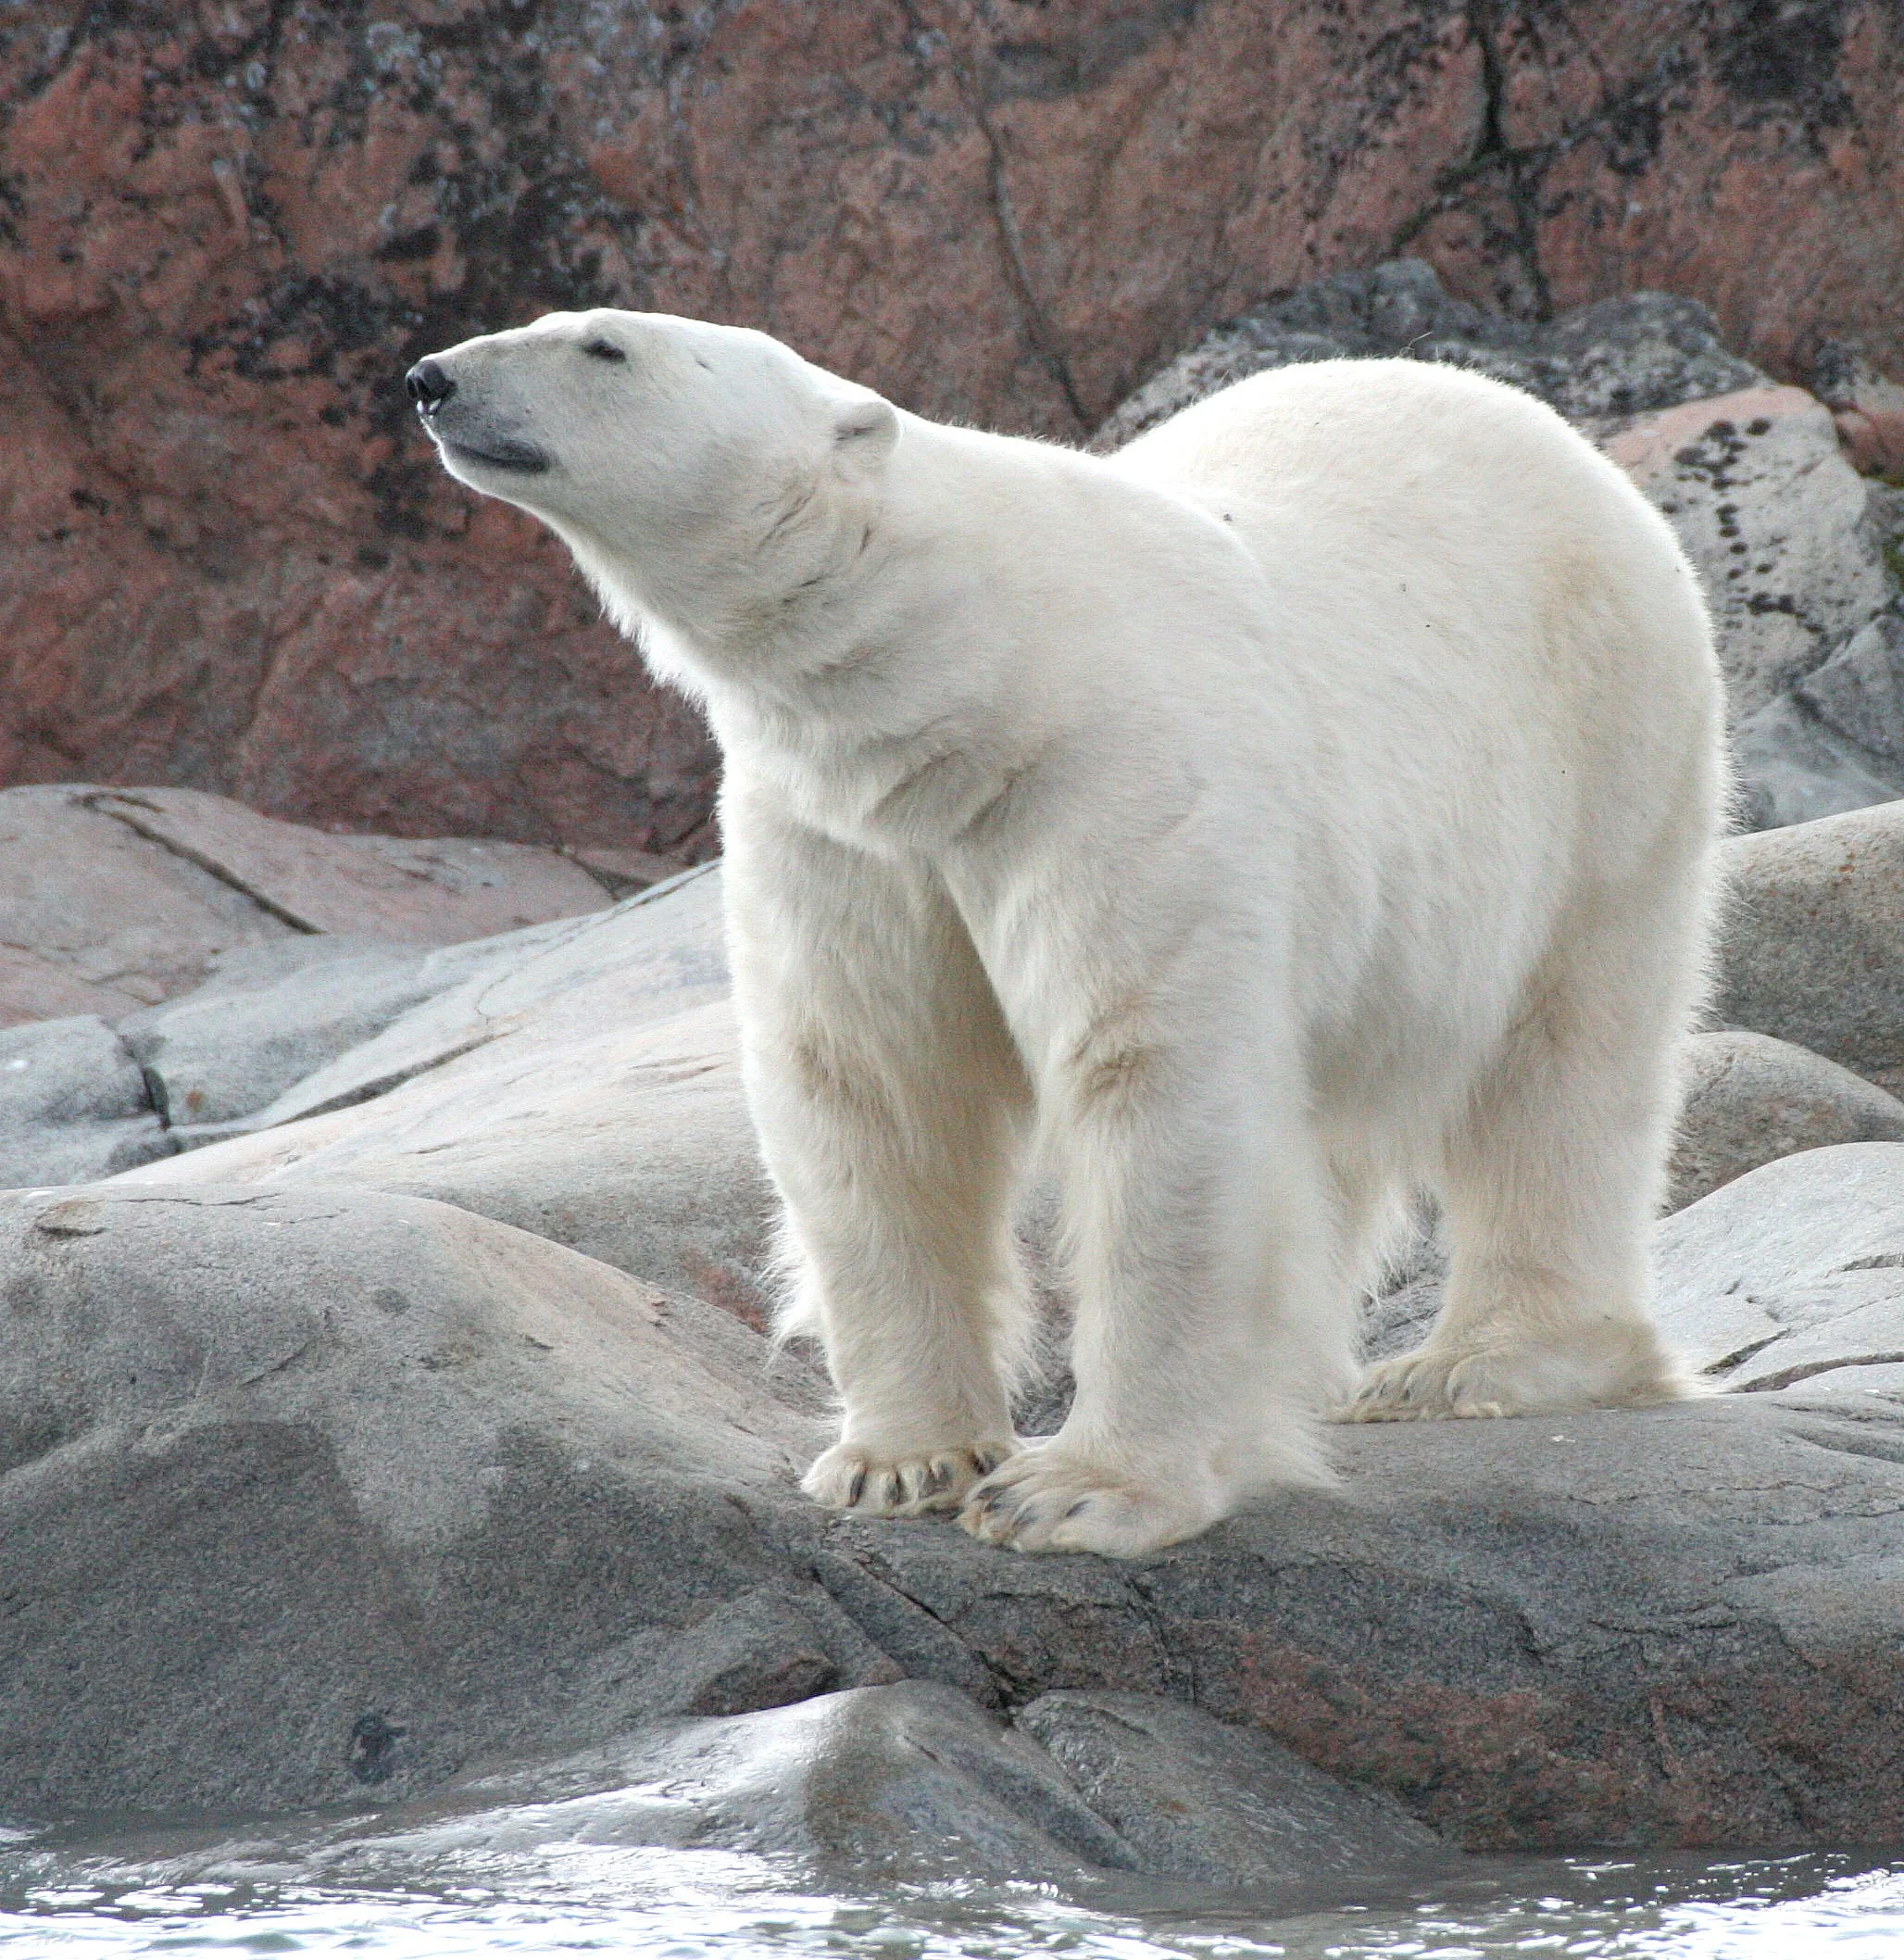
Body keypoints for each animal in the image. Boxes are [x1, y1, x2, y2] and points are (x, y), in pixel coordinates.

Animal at [408, 309, 1725, 1558]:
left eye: (605, 346)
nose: (430, 377)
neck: (966, 670)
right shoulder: (849, 834)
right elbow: (872, 1087)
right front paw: (899, 1462)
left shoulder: (1111, 776)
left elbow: (1153, 1079)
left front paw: (1078, 1492)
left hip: (1605, 743)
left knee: (1563, 1058)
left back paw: (1476, 1362)